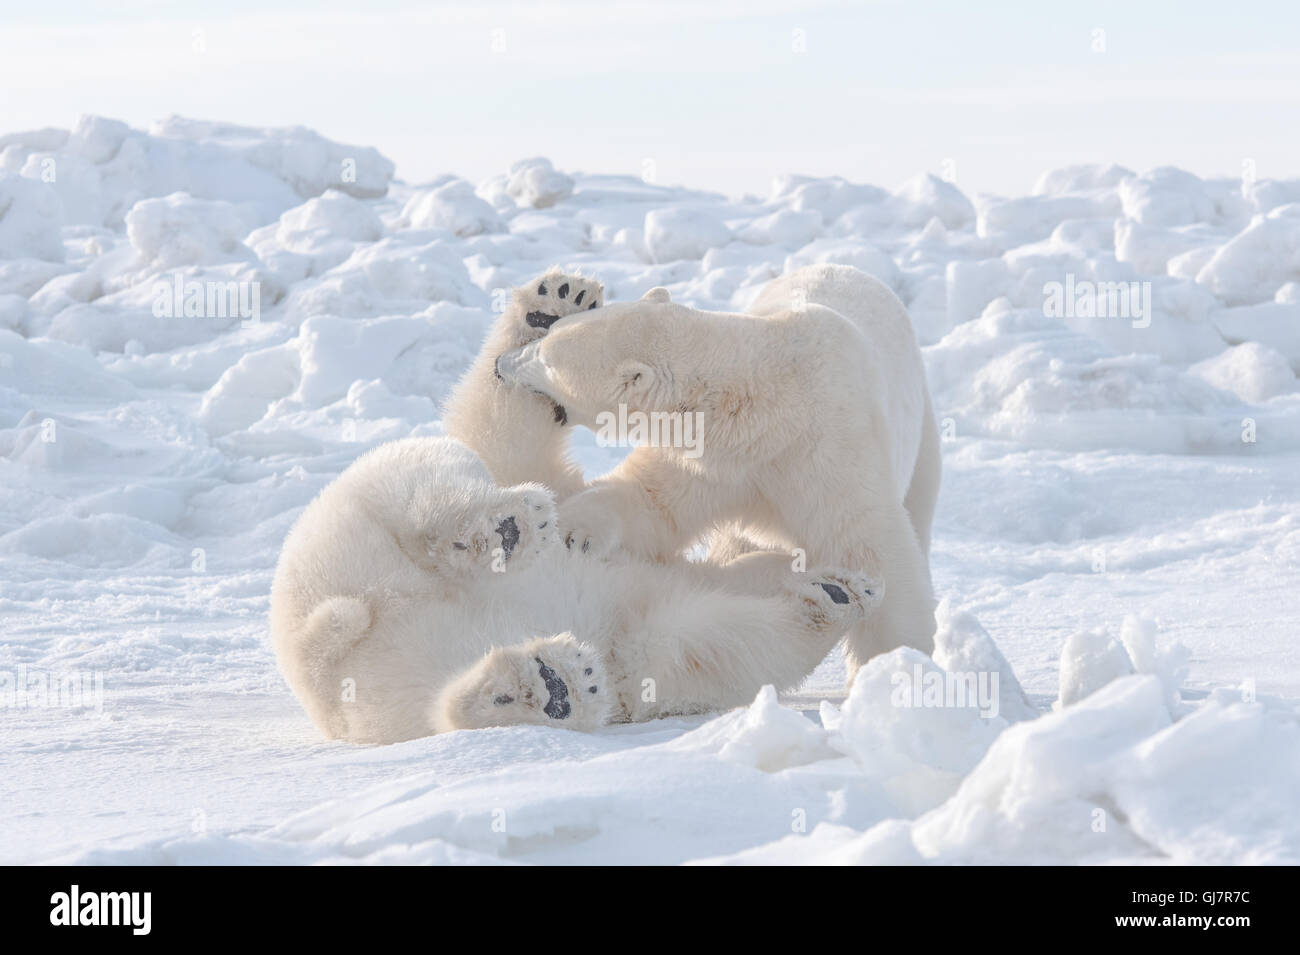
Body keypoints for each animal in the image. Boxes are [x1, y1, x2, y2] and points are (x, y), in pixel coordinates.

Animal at [267, 268, 878, 748]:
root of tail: (315, 649)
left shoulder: (634, 632)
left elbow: (702, 648)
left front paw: (837, 593)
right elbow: (499, 438)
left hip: (387, 671)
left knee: (441, 700)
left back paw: (543, 683)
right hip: (352, 520)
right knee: (428, 473)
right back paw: (506, 538)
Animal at [491, 265, 941, 675]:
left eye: (547, 359)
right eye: (549, 334)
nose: (502, 363)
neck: (760, 403)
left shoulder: (827, 449)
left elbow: (871, 548)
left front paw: (898, 665)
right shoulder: (710, 463)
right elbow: (652, 501)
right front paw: (569, 529)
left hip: (922, 431)